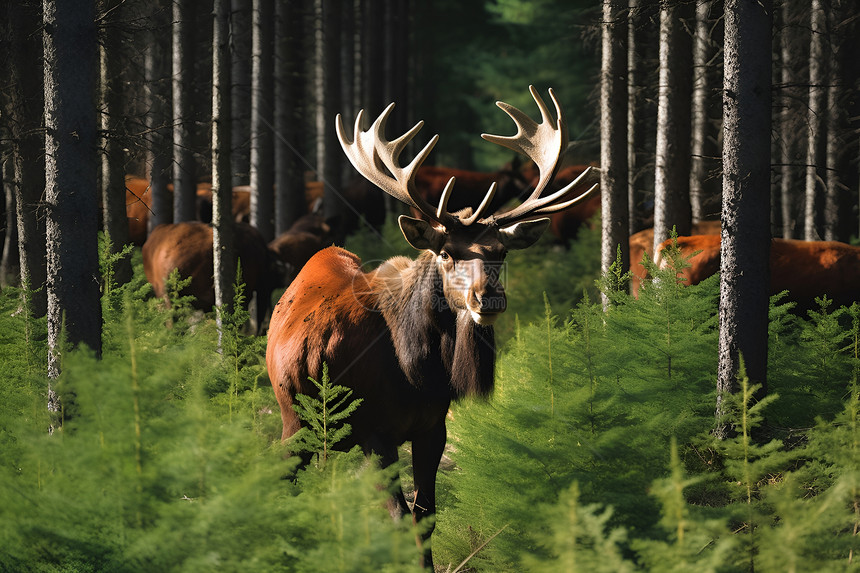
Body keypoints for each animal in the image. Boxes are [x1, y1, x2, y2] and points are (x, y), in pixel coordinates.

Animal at [266, 86, 596, 568]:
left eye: (501, 252)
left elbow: (426, 517)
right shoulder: (376, 432)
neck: (414, 372)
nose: (486, 298)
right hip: (295, 419)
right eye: (447, 253)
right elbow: (402, 518)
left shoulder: (432, 426)